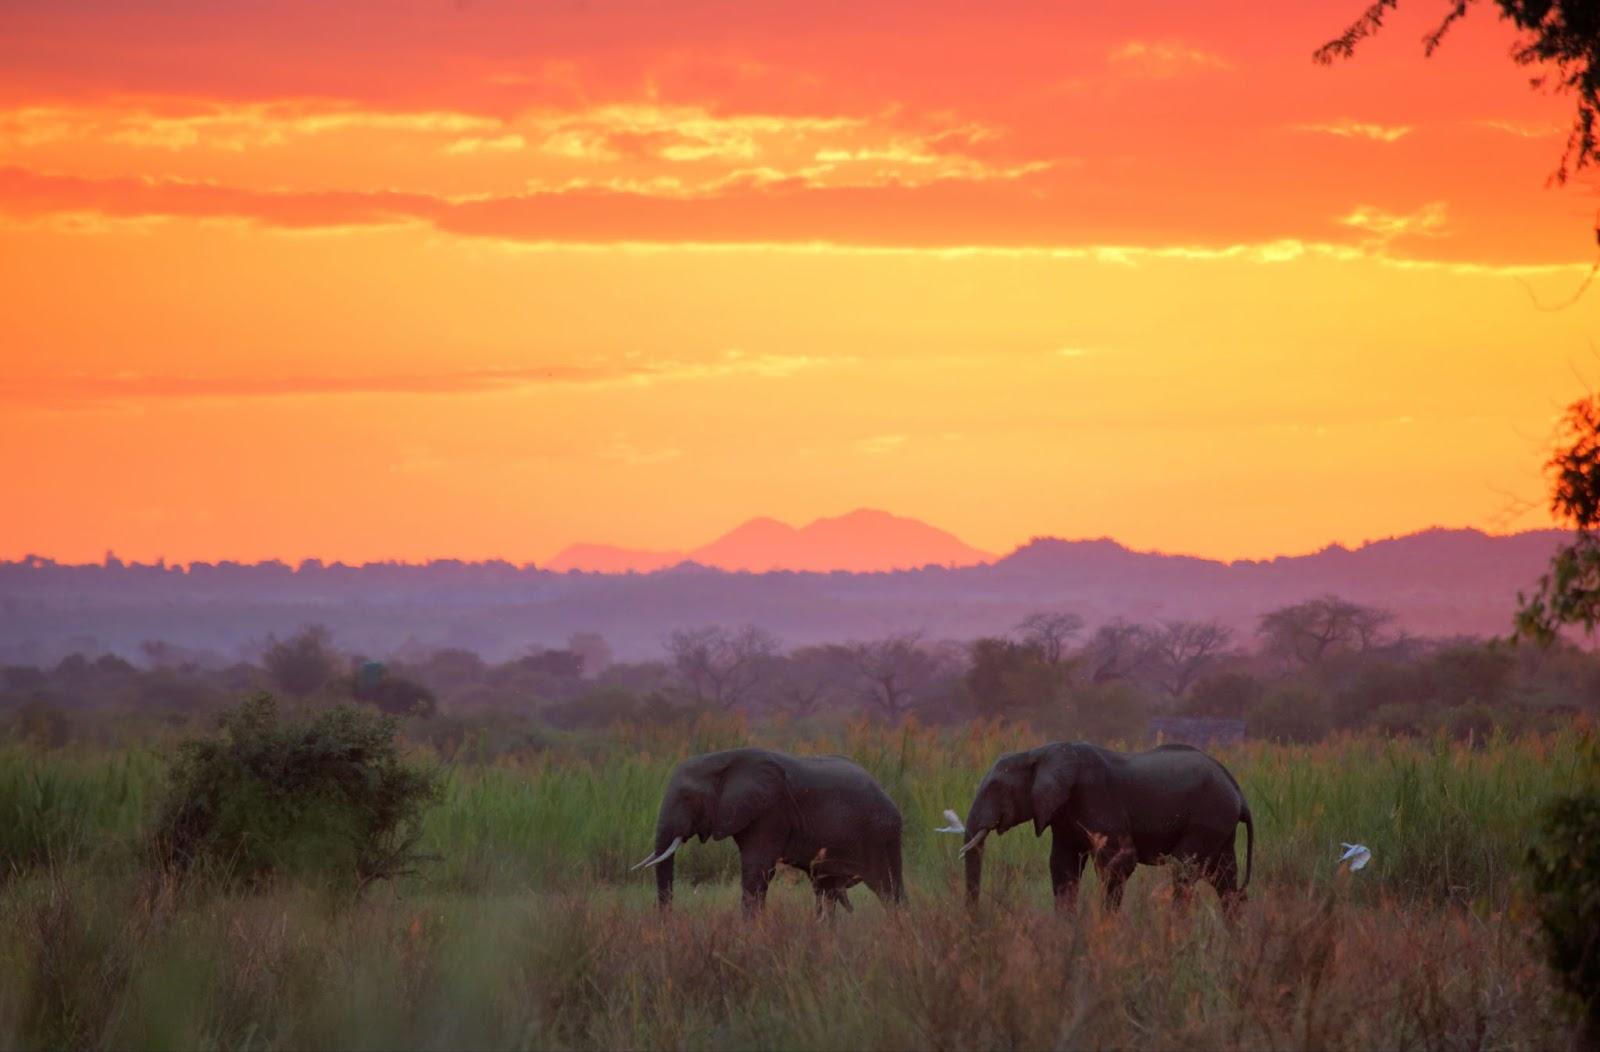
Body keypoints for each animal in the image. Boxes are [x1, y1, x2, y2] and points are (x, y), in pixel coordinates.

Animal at [636, 745, 915, 908]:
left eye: (686, 798)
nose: (667, 925)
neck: (722, 759)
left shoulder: (771, 810)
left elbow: (756, 870)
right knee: (825, 891)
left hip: (881, 836)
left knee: (889, 891)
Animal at [953, 738, 1254, 908]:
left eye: (995, 787)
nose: (975, 925)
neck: (1037, 753)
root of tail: (1238, 792)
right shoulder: (1061, 813)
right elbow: (1063, 866)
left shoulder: (1096, 797)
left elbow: (1119, 862)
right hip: (1220, 825)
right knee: (1224, 880)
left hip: (1208, 818)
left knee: (1183, 872)